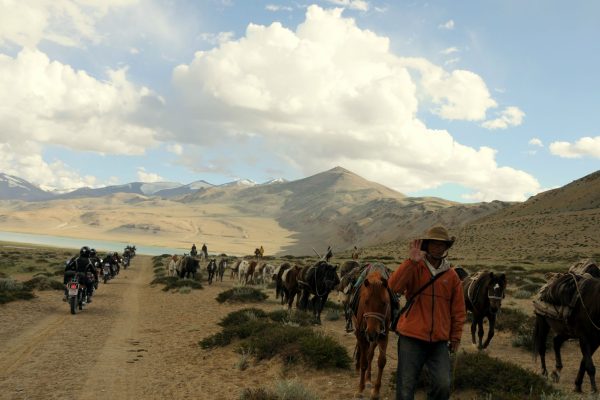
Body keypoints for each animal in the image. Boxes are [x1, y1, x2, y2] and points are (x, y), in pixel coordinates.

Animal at [352, 270, 394, 398]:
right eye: (366, 302)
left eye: (384, 303)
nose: (371, 332)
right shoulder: (362, 336)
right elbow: (363, 362)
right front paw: (360, 389)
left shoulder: (383, 336)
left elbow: (381, 361)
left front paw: (376, 391)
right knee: (362, 352)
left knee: (370, 354)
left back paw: (368, 378)